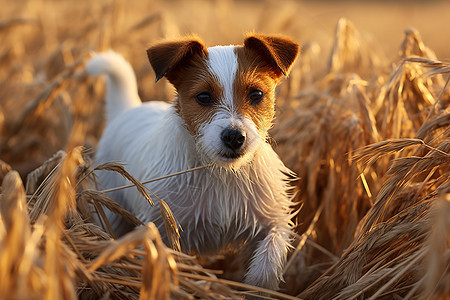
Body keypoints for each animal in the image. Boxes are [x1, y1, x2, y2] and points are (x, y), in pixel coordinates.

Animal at [86, 34, 300, 290]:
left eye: (256, 94)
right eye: (204, 97)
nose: (234, 136)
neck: (222, 173)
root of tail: (129, 109)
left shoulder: (272, 222)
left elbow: (268, 260)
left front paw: (256, 286)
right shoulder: (160, 229)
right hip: (113, 211)